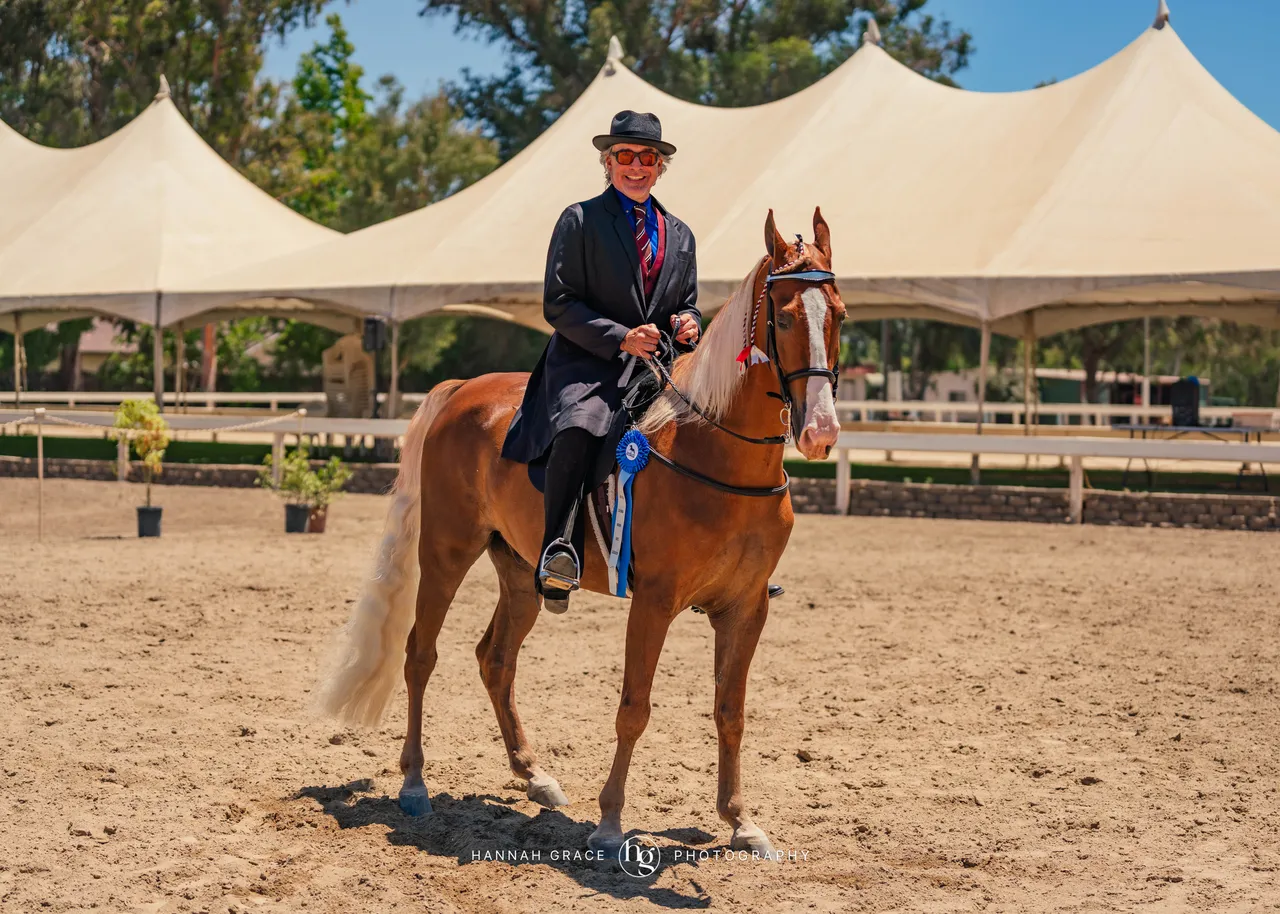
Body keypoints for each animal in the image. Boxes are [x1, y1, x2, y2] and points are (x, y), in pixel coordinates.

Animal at [315, 208, 846, 859]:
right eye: (787, 316)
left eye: (840, 315)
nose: (821, 431)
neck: (717, 453)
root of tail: (462, 390)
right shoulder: (653, 602)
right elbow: (634, 708)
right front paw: (610, 822)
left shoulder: (746, 608)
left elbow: (731, 711)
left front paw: (741, 821)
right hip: (446, 553)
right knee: (421, 655)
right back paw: (415, 784)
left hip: (521, 572)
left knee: (495, 660)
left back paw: (534, 775)